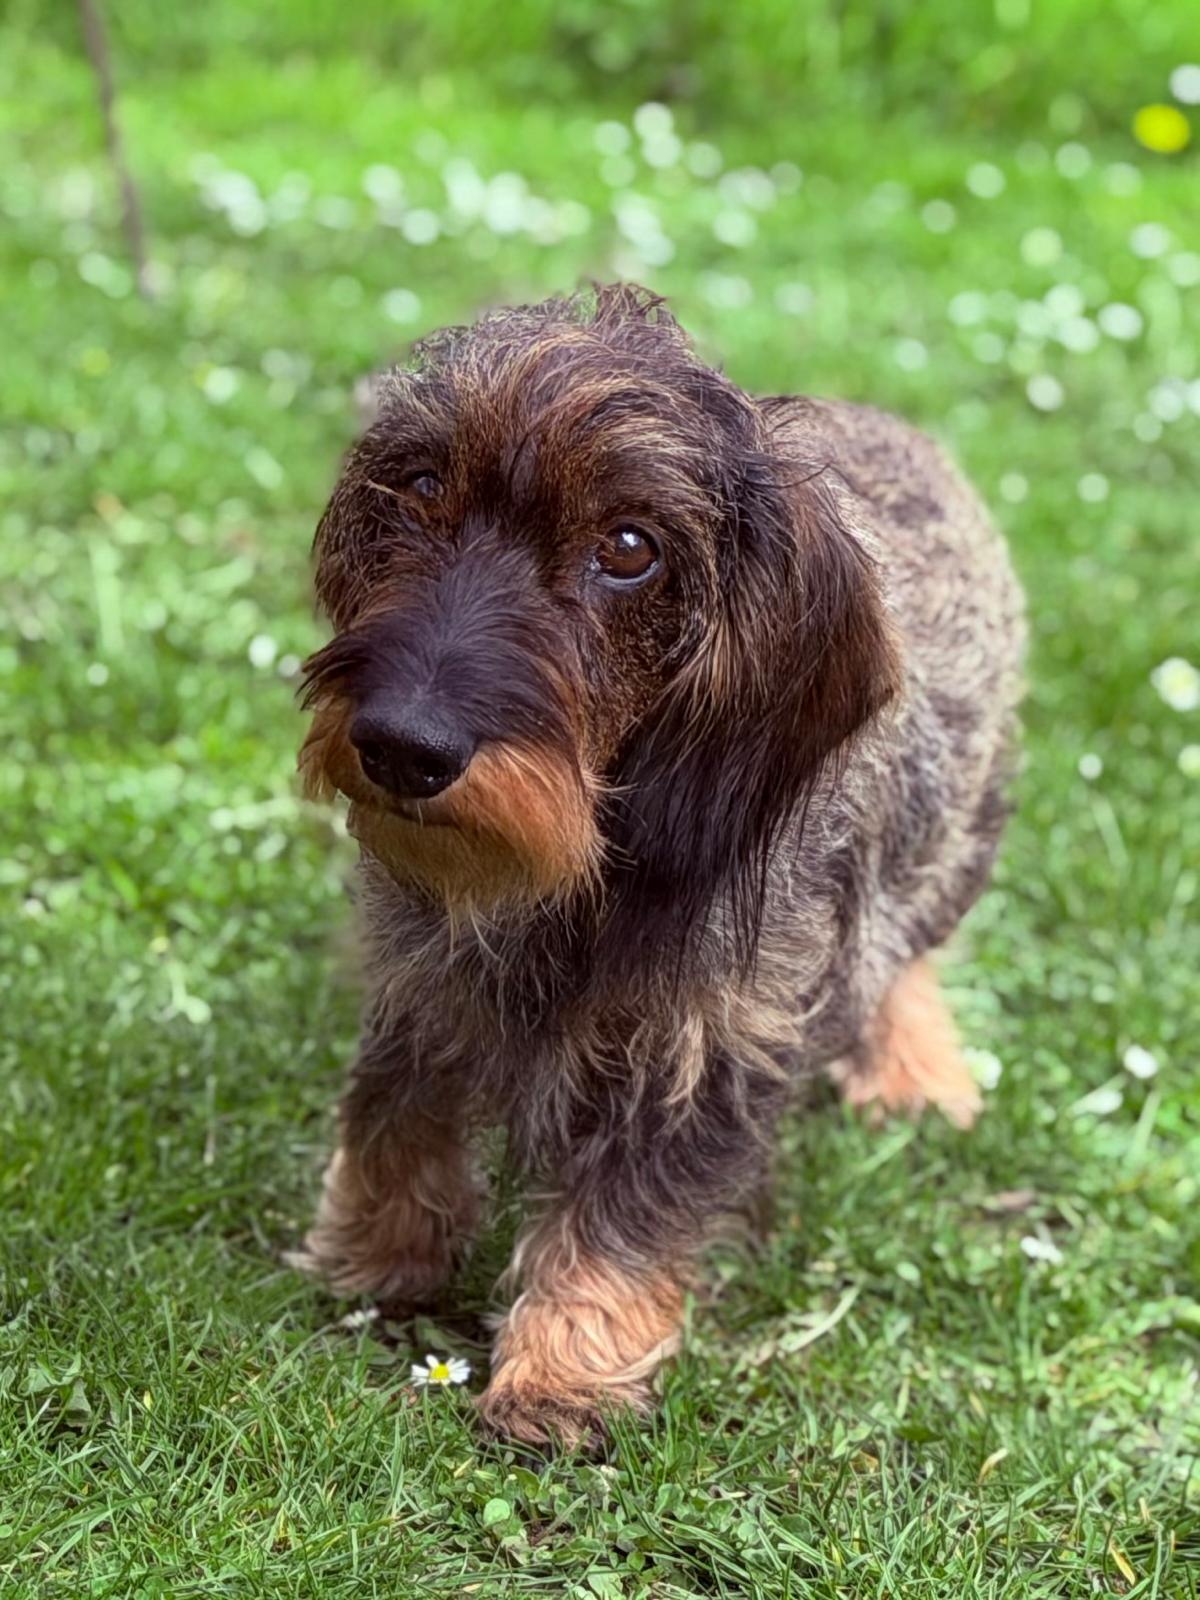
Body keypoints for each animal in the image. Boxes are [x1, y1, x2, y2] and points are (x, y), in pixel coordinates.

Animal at [291, 283, 1025, 1445]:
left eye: (631, 547)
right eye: (420, 486)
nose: (403, 746)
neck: (582, 880)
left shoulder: (707, 1049)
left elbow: (625, 1211)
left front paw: (563, 1369)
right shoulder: (424, 975)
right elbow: (396, 1113)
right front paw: (372, 1257)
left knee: (904, 955)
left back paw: (914, 1070)